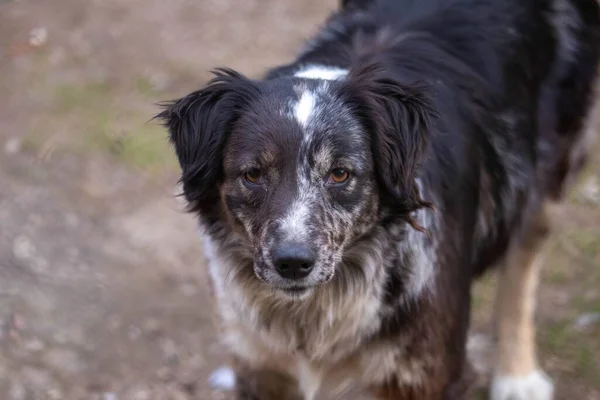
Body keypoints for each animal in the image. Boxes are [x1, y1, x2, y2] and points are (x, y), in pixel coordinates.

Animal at [156, 1, 600, 398]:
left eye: (340, 174)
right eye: (252, 175)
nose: (293, 263)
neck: (313, 315)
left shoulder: (428, 373)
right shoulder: (258, 367)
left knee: (522, 264)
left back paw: (517, 376)